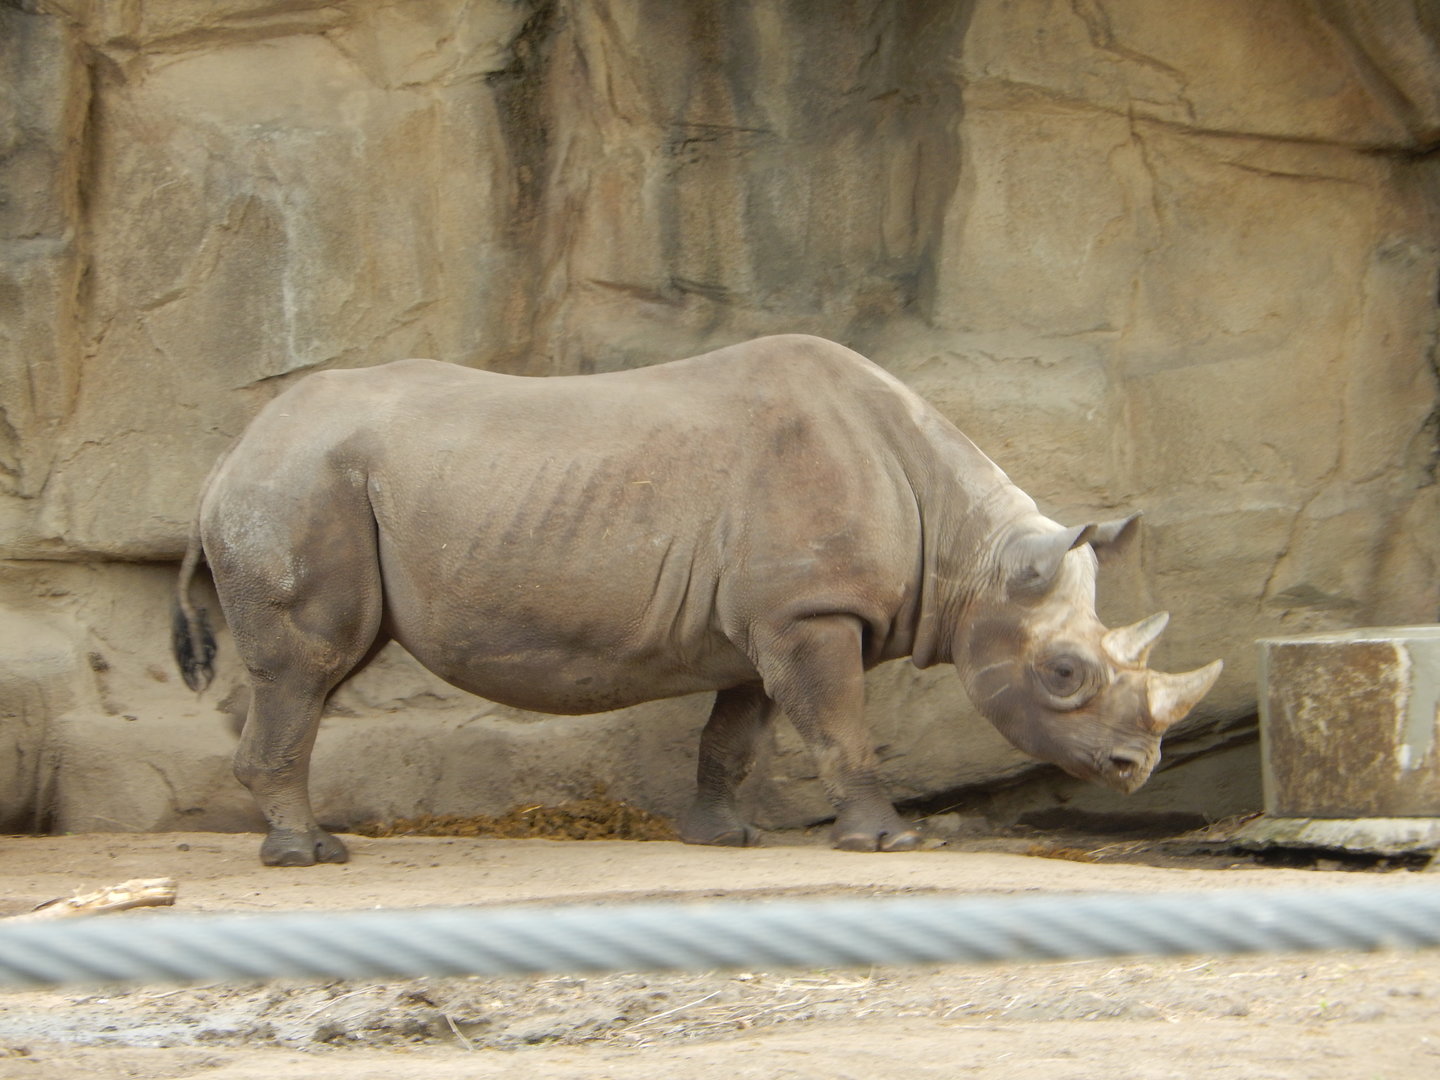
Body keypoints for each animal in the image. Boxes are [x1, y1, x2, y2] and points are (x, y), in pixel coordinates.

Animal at [172, 334, 1222, 866]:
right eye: (1064, 673)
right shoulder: (811, 613)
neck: (970, 551)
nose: (1135, 768)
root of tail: (228, 452)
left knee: (319, 672)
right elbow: (841, 727)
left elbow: (738, 734)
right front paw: (888, 841)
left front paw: (725, 838)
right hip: (298, 483)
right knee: (308, 667)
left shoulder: (772, 619)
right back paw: (310, 855)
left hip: (309, 477)